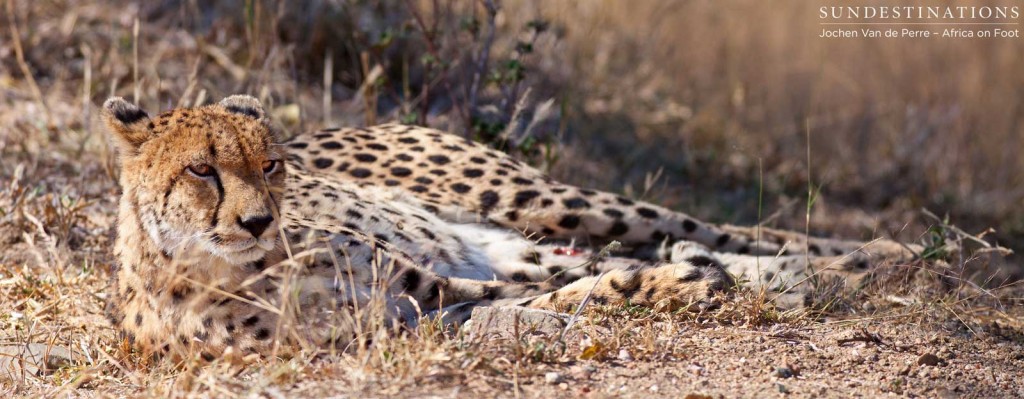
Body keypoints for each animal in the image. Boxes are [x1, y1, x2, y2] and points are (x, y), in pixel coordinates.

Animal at [101, 95, 921, 360]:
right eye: (202, 170)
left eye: (269, 164)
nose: (260, 219)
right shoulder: (415, 315)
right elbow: (557, 298)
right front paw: (675, 287)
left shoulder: (426, 285)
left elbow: (580, 290)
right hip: (520, 237)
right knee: (629, 256)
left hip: (538, 200)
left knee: (709, 226)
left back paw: (894, 254)